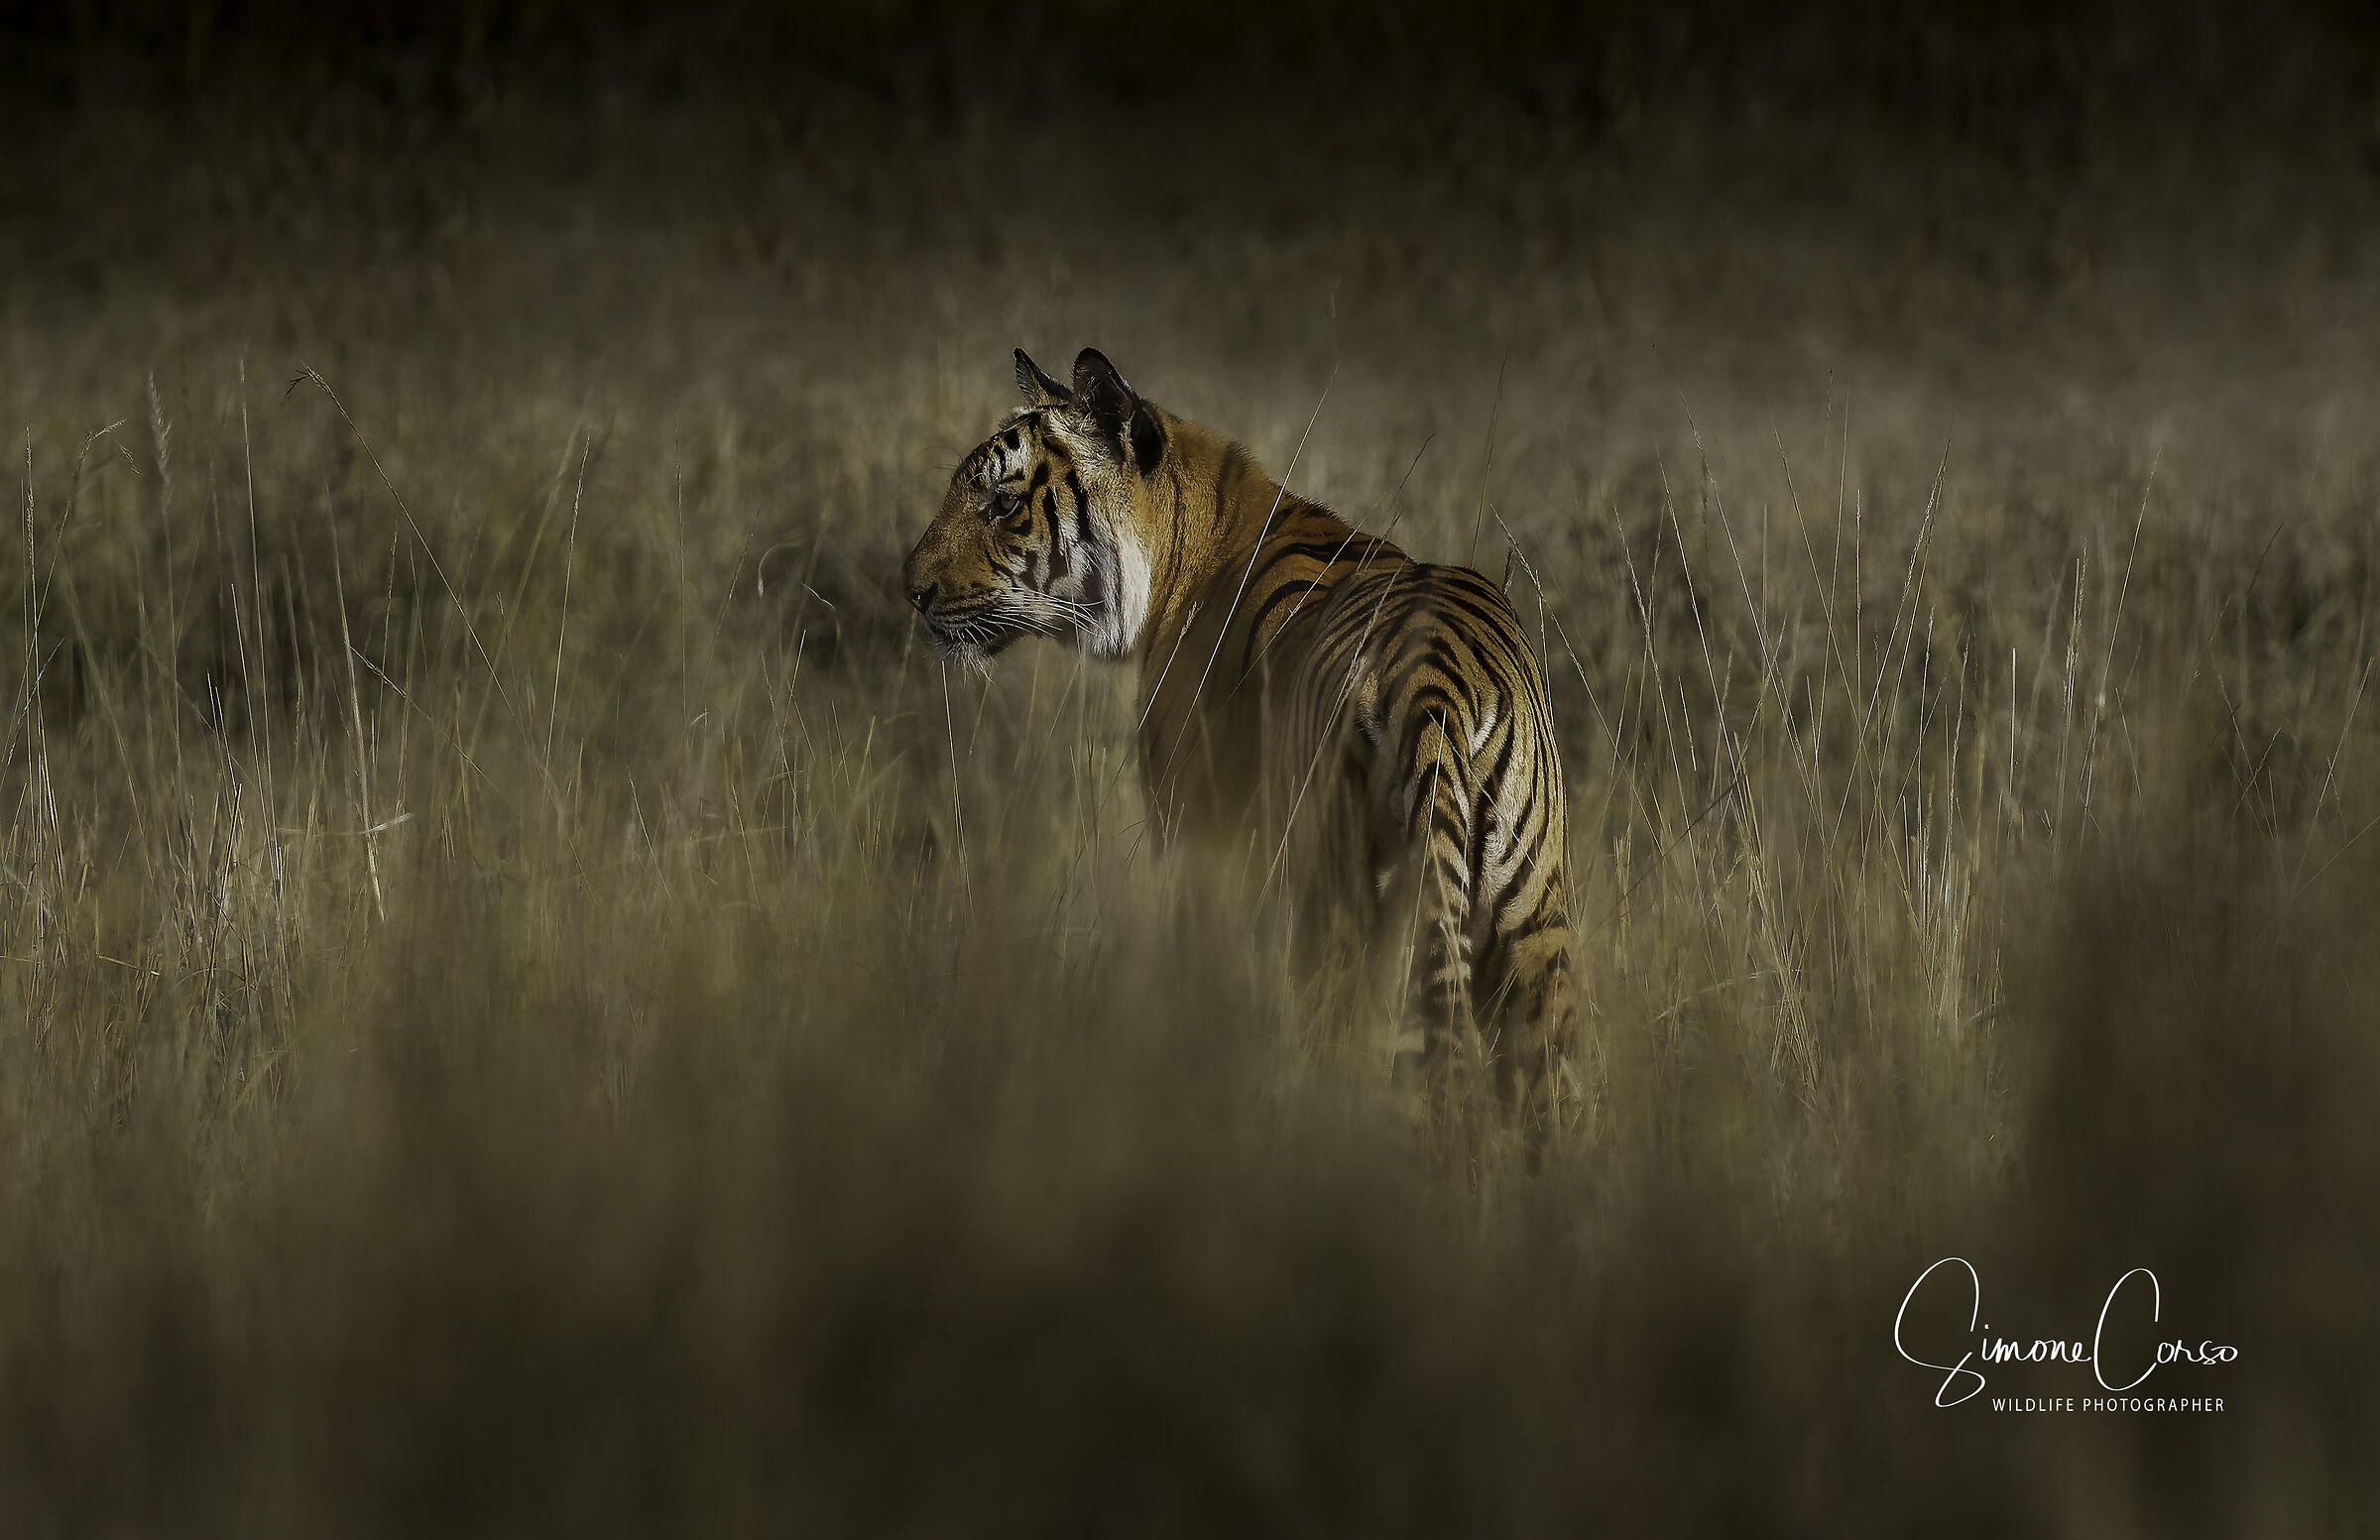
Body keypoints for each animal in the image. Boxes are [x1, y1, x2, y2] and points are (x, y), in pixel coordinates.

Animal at [901, 347, 1577, 1133]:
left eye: (1003, 504)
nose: (910, 589)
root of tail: (1437, 676)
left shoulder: (1199, 842)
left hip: (1339, 905)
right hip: (1533, 918)